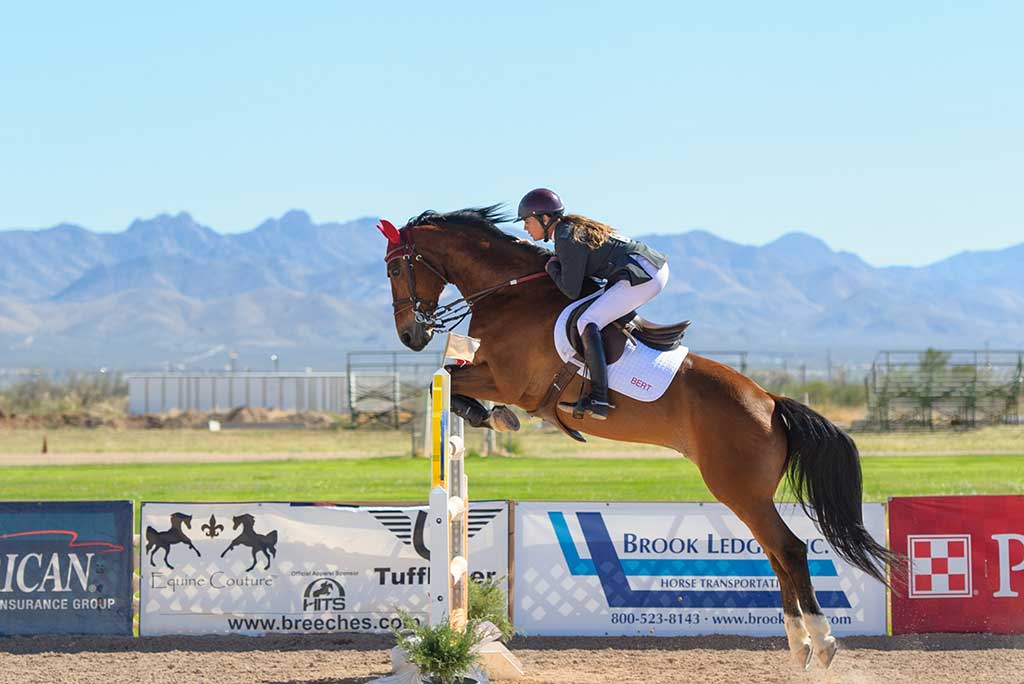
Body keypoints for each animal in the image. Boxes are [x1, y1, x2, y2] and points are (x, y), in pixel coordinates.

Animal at [378, 205, 897, 671]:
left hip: (739, 489)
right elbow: (449, 377)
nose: (409, 335)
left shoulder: (508, 380)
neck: (507, 296)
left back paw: (823, 642)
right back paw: (799, 646)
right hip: (746, 494)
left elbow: (446, 379)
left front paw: (491, 415)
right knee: (775, 555)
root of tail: (769, 401)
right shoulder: (492, 373)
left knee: (789, 550)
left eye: (395, 268)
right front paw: (490, 416)